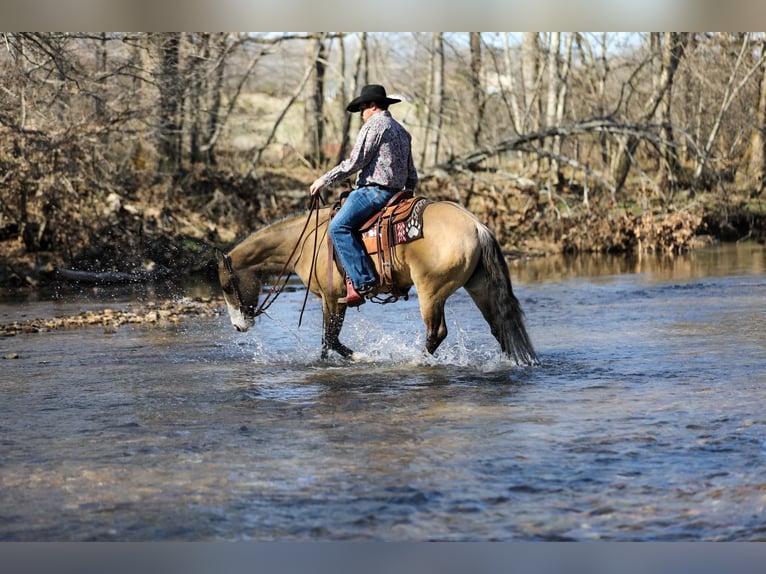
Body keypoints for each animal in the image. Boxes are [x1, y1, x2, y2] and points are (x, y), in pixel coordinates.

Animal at [216, 198, 540, 366]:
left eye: (226, 286)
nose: (238, 326)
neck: (307, 241)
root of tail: (476, 225)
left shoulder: (334, 299)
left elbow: (331, 339)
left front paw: (361, 357)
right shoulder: (329, 301)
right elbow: (326, 342)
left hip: (431, 292)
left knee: (436, 333)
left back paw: (415, 361)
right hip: (479, 286)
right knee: (499, 326)